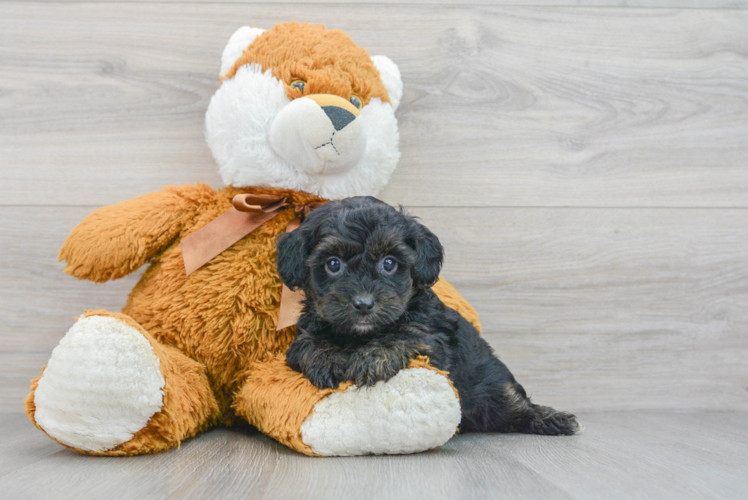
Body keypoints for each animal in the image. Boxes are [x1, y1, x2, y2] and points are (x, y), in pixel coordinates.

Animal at [278, 195, 576, 434]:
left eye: (389, 263)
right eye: (333, 264)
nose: (363, 304)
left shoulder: (435, 338)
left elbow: (407, 335)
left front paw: (372, 357)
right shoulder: (306, 329)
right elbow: (306, 343)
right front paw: (325, 359)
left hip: (495, 387)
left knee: (515, 404)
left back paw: (553, 419)